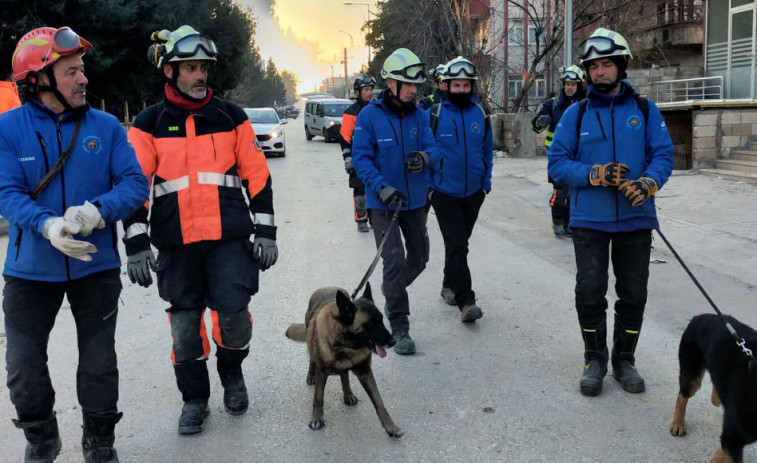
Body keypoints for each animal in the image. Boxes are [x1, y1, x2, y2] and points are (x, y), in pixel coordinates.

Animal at [284, 282, 402, 438]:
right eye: (371, 324)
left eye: (381, 320)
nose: (393, 342)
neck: (345, 345)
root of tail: (327, 287)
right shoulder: (322, 372)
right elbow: (318, 397)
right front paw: (316, 418)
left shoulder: (365, 372)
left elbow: (379, 401)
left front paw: (391, 427)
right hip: (311, 340)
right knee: (312, 359)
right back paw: (311, 375)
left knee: (344, 375)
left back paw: (348, 394)